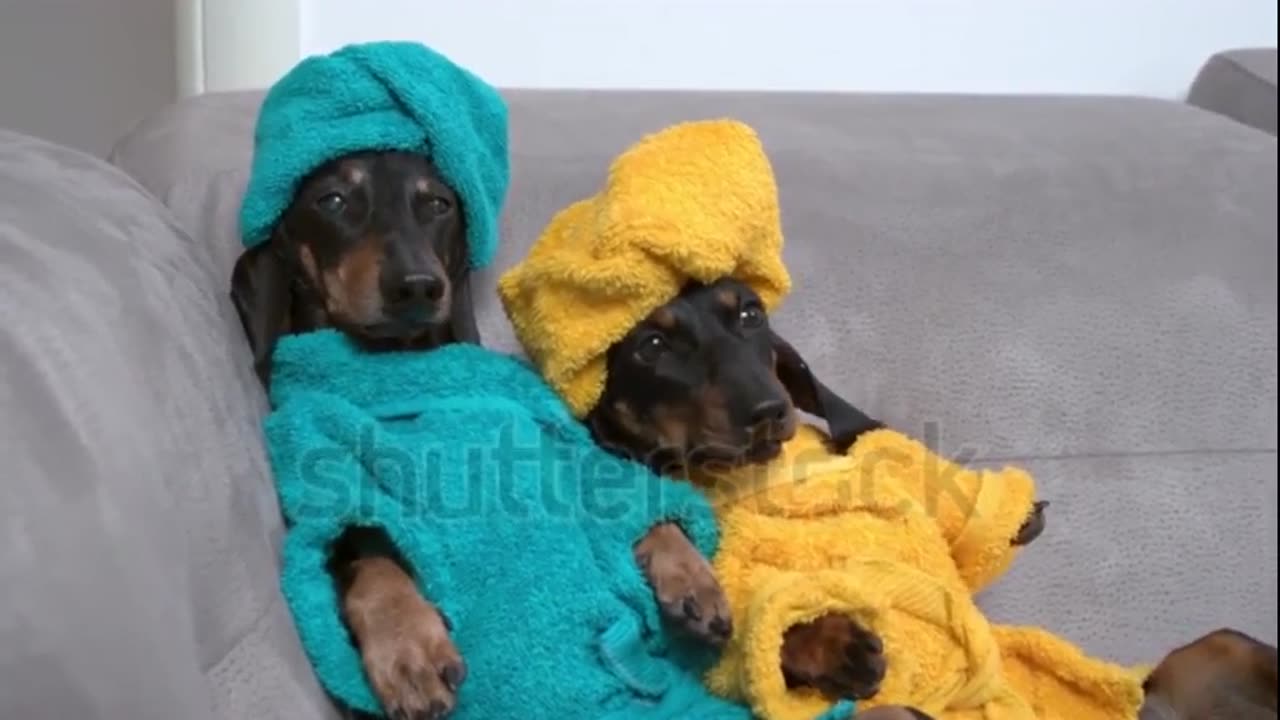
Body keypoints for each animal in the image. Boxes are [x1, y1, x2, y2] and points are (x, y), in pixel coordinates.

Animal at [230, 148, 732, 712]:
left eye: (437, 203)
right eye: (332, 200)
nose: (418, 286)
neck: (395, 359)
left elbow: (625, 499)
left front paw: (689, 575)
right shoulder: (313, 459)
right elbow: (367, 551)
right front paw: (407, 646)